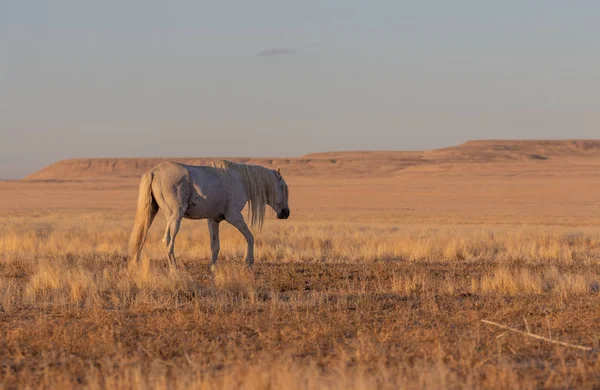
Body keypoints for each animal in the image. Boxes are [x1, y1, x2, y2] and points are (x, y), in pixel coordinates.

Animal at [129, 160, 290, 270]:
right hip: (175, 217)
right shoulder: (234, 217)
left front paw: (212, 266)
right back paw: (174, 269)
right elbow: (250, 237)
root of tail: (154, 172)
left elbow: (215, 245)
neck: (240, 180)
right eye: (283, 187)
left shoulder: (214, 220)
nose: (286, 213)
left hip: (151, 213)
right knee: (167, 240)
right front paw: (248, 262)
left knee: (141, 237)